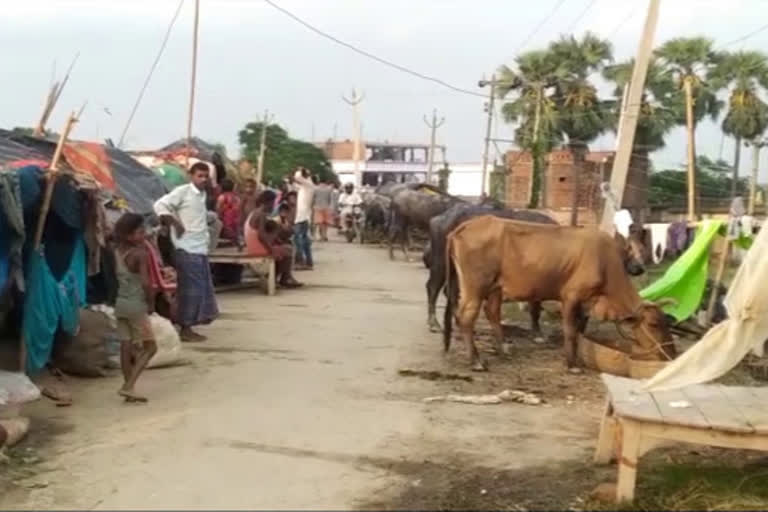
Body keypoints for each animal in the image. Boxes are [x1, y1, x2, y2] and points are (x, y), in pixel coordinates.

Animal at [440, 216, 676, 372]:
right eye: (654, 324)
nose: (671, 352)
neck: (607, 264)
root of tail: (465, 226)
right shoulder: (571, 297)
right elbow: (570, 330)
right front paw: (572, 365)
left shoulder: (585, 304)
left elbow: (580, 330)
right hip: (475, 287)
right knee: (466, 317)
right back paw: (476, 361)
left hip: (495, 287)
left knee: (492, 313)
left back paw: (503, 350)